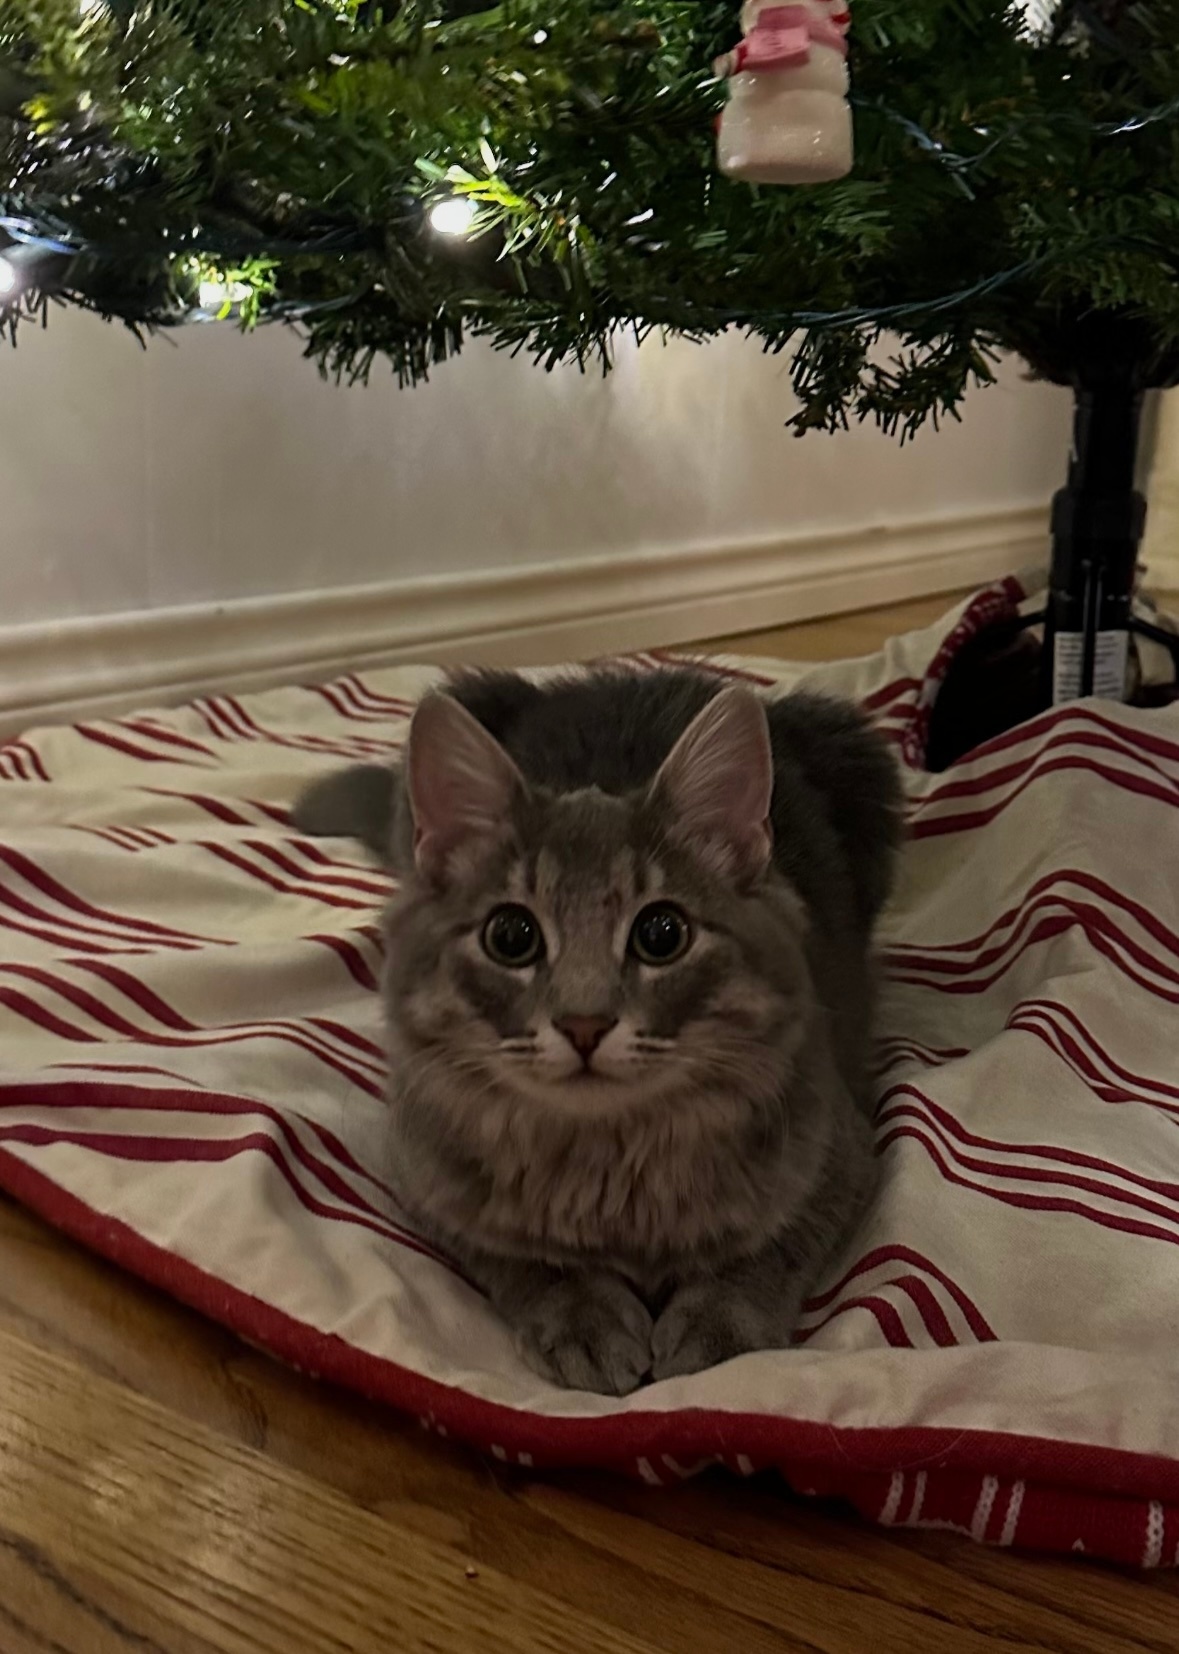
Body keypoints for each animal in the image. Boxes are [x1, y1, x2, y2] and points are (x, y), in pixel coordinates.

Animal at [295, 664, 899, 1389]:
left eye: (662, 934)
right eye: (511, 936)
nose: (584, 1024)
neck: (610, 1162)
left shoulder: (837, 1150)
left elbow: (769, 1247)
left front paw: (715, 1324)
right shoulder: (423, 1172)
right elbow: (526, 1255)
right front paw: (583, 1316)